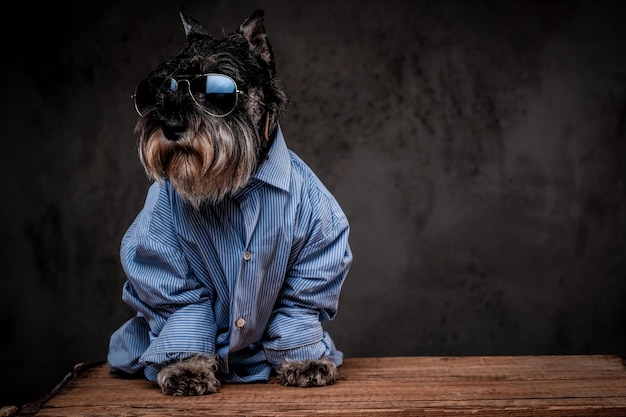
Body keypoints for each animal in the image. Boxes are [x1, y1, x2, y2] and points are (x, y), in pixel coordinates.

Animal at [107, 8, 352, 394]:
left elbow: (298, 309)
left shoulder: (318, 251)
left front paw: (305, 362)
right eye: (163, 88)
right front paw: (186, 369)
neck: (238, 184)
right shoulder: (165, 263)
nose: (171, 126)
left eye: (217, 90)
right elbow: (184, 313)